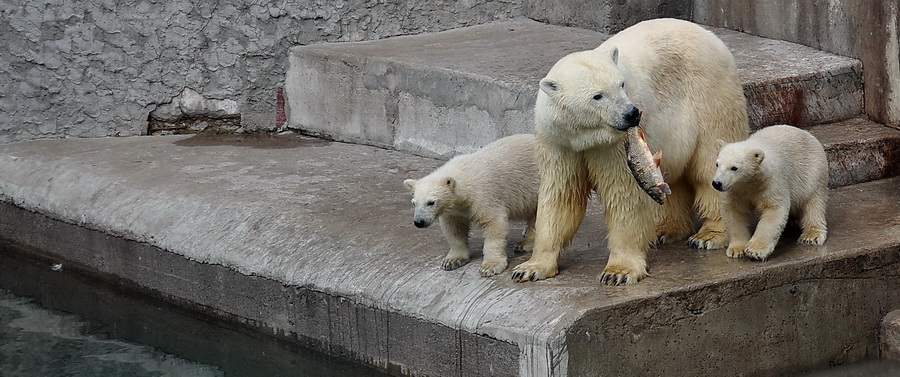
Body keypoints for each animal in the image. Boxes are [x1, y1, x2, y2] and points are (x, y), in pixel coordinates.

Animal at [510, 16, 748, 282]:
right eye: (597, 96)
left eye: (622, 84)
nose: (632, 114)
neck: (584, 135)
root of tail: (710, 35)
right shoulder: (557, 141)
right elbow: (562, 195)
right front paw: (530, 268)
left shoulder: (613, 145)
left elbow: (623, 193)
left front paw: (619, 271)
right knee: (671, 176)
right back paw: (664, 229)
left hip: (710, 96)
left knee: (708, 164)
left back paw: (709, 235)